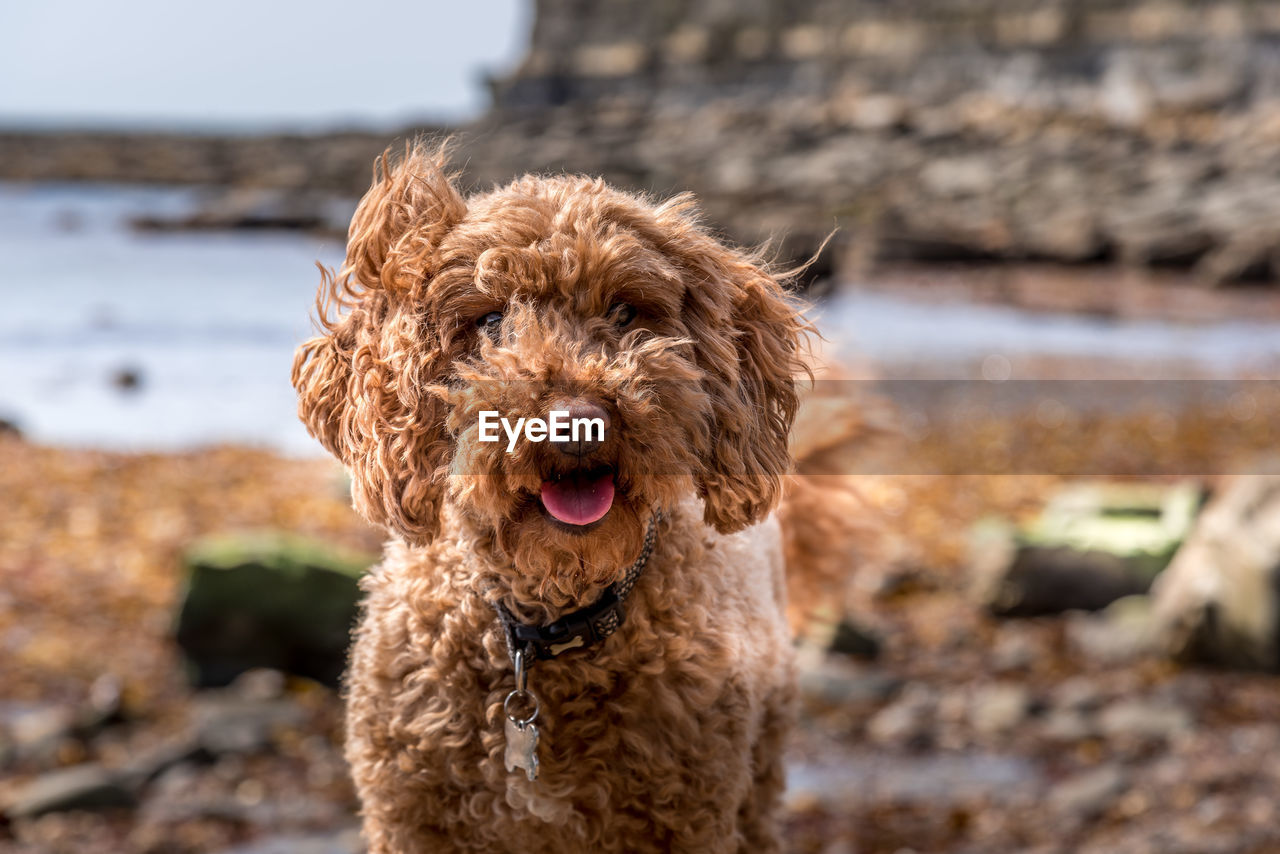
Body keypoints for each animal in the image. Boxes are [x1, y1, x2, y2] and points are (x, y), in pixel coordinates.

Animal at [294, 143, 844, 850]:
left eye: (624, 311)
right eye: (491, 320)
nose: (575, 423)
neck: (543, 629)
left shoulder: (685, 819)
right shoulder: (412, 820)